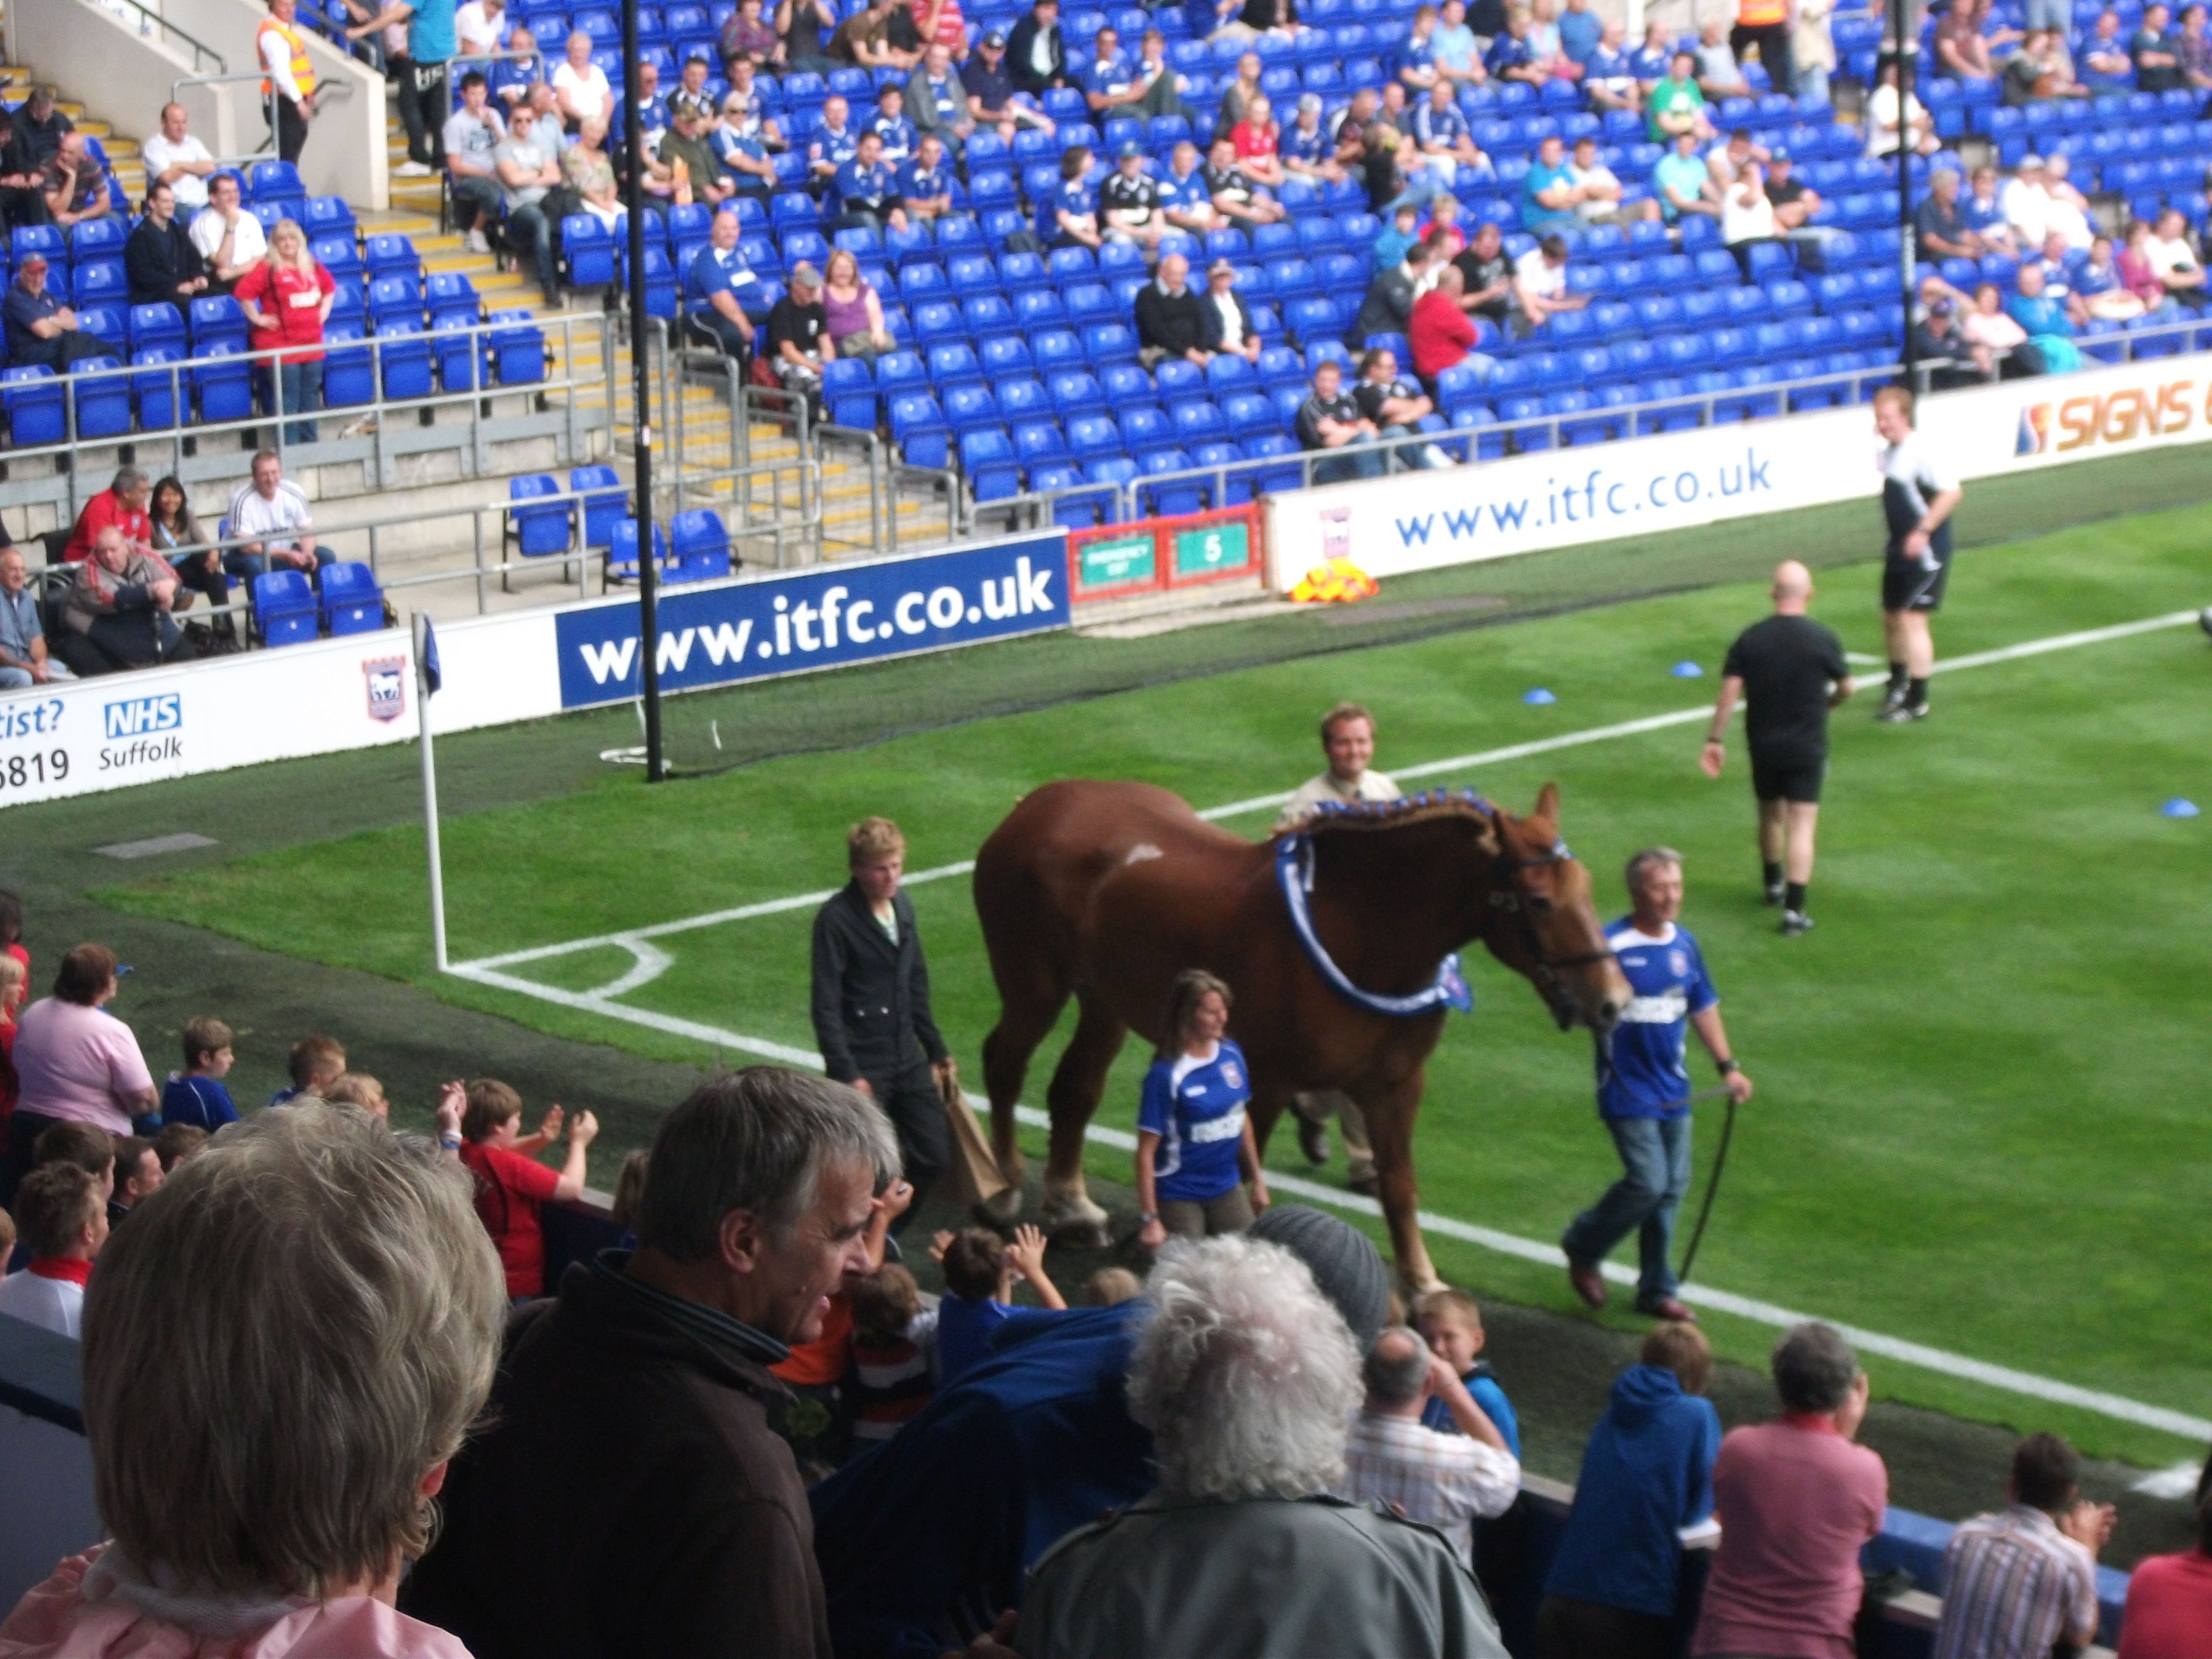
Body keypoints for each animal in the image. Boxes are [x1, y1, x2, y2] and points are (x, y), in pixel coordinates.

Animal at [972, 779, 1631, 1293]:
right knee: (1003, 1062)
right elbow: (1244, 1188)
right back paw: (1004, 1188)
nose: (1614, 1001)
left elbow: (1399, 1187)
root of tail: (1036, 803)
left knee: (1074, 1089)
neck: (1359, 931)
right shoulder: (1263, 1086)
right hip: (1035, 986)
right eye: (1540, 902)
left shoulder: (1396, 1085)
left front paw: (1422, 1285)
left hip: (1104, 999)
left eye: (1587, 886)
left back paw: (1071, 1205)